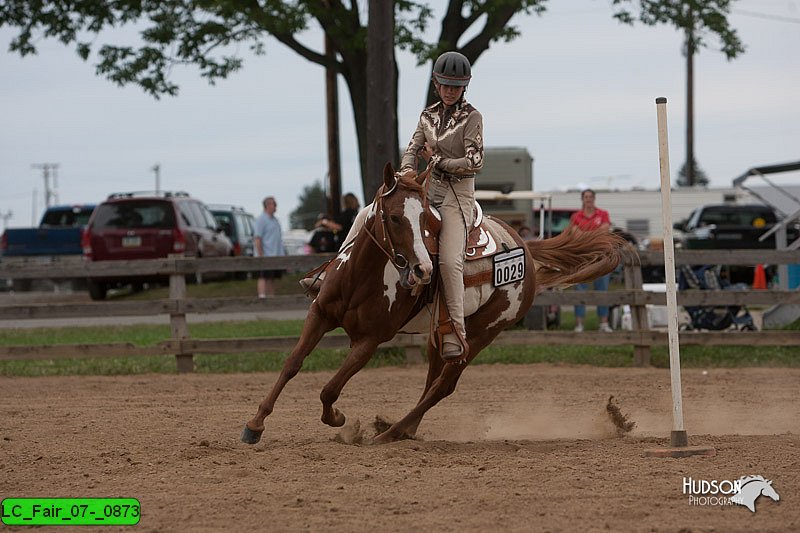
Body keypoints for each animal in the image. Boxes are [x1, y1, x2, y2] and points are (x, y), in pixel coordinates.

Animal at [241, 163, 628, 444]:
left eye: (425, 217)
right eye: (394, 216)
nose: (422, 270)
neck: (360, 278)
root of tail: (526, 251)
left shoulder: (370, 341)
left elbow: (330, 387)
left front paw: (337, 419)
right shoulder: (319, 314)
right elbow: (292, 364)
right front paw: (255, 424)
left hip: (484, 331)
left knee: (445, 384)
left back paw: (389, 433)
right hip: (441, 334)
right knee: (432, 379)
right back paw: (403, 429)